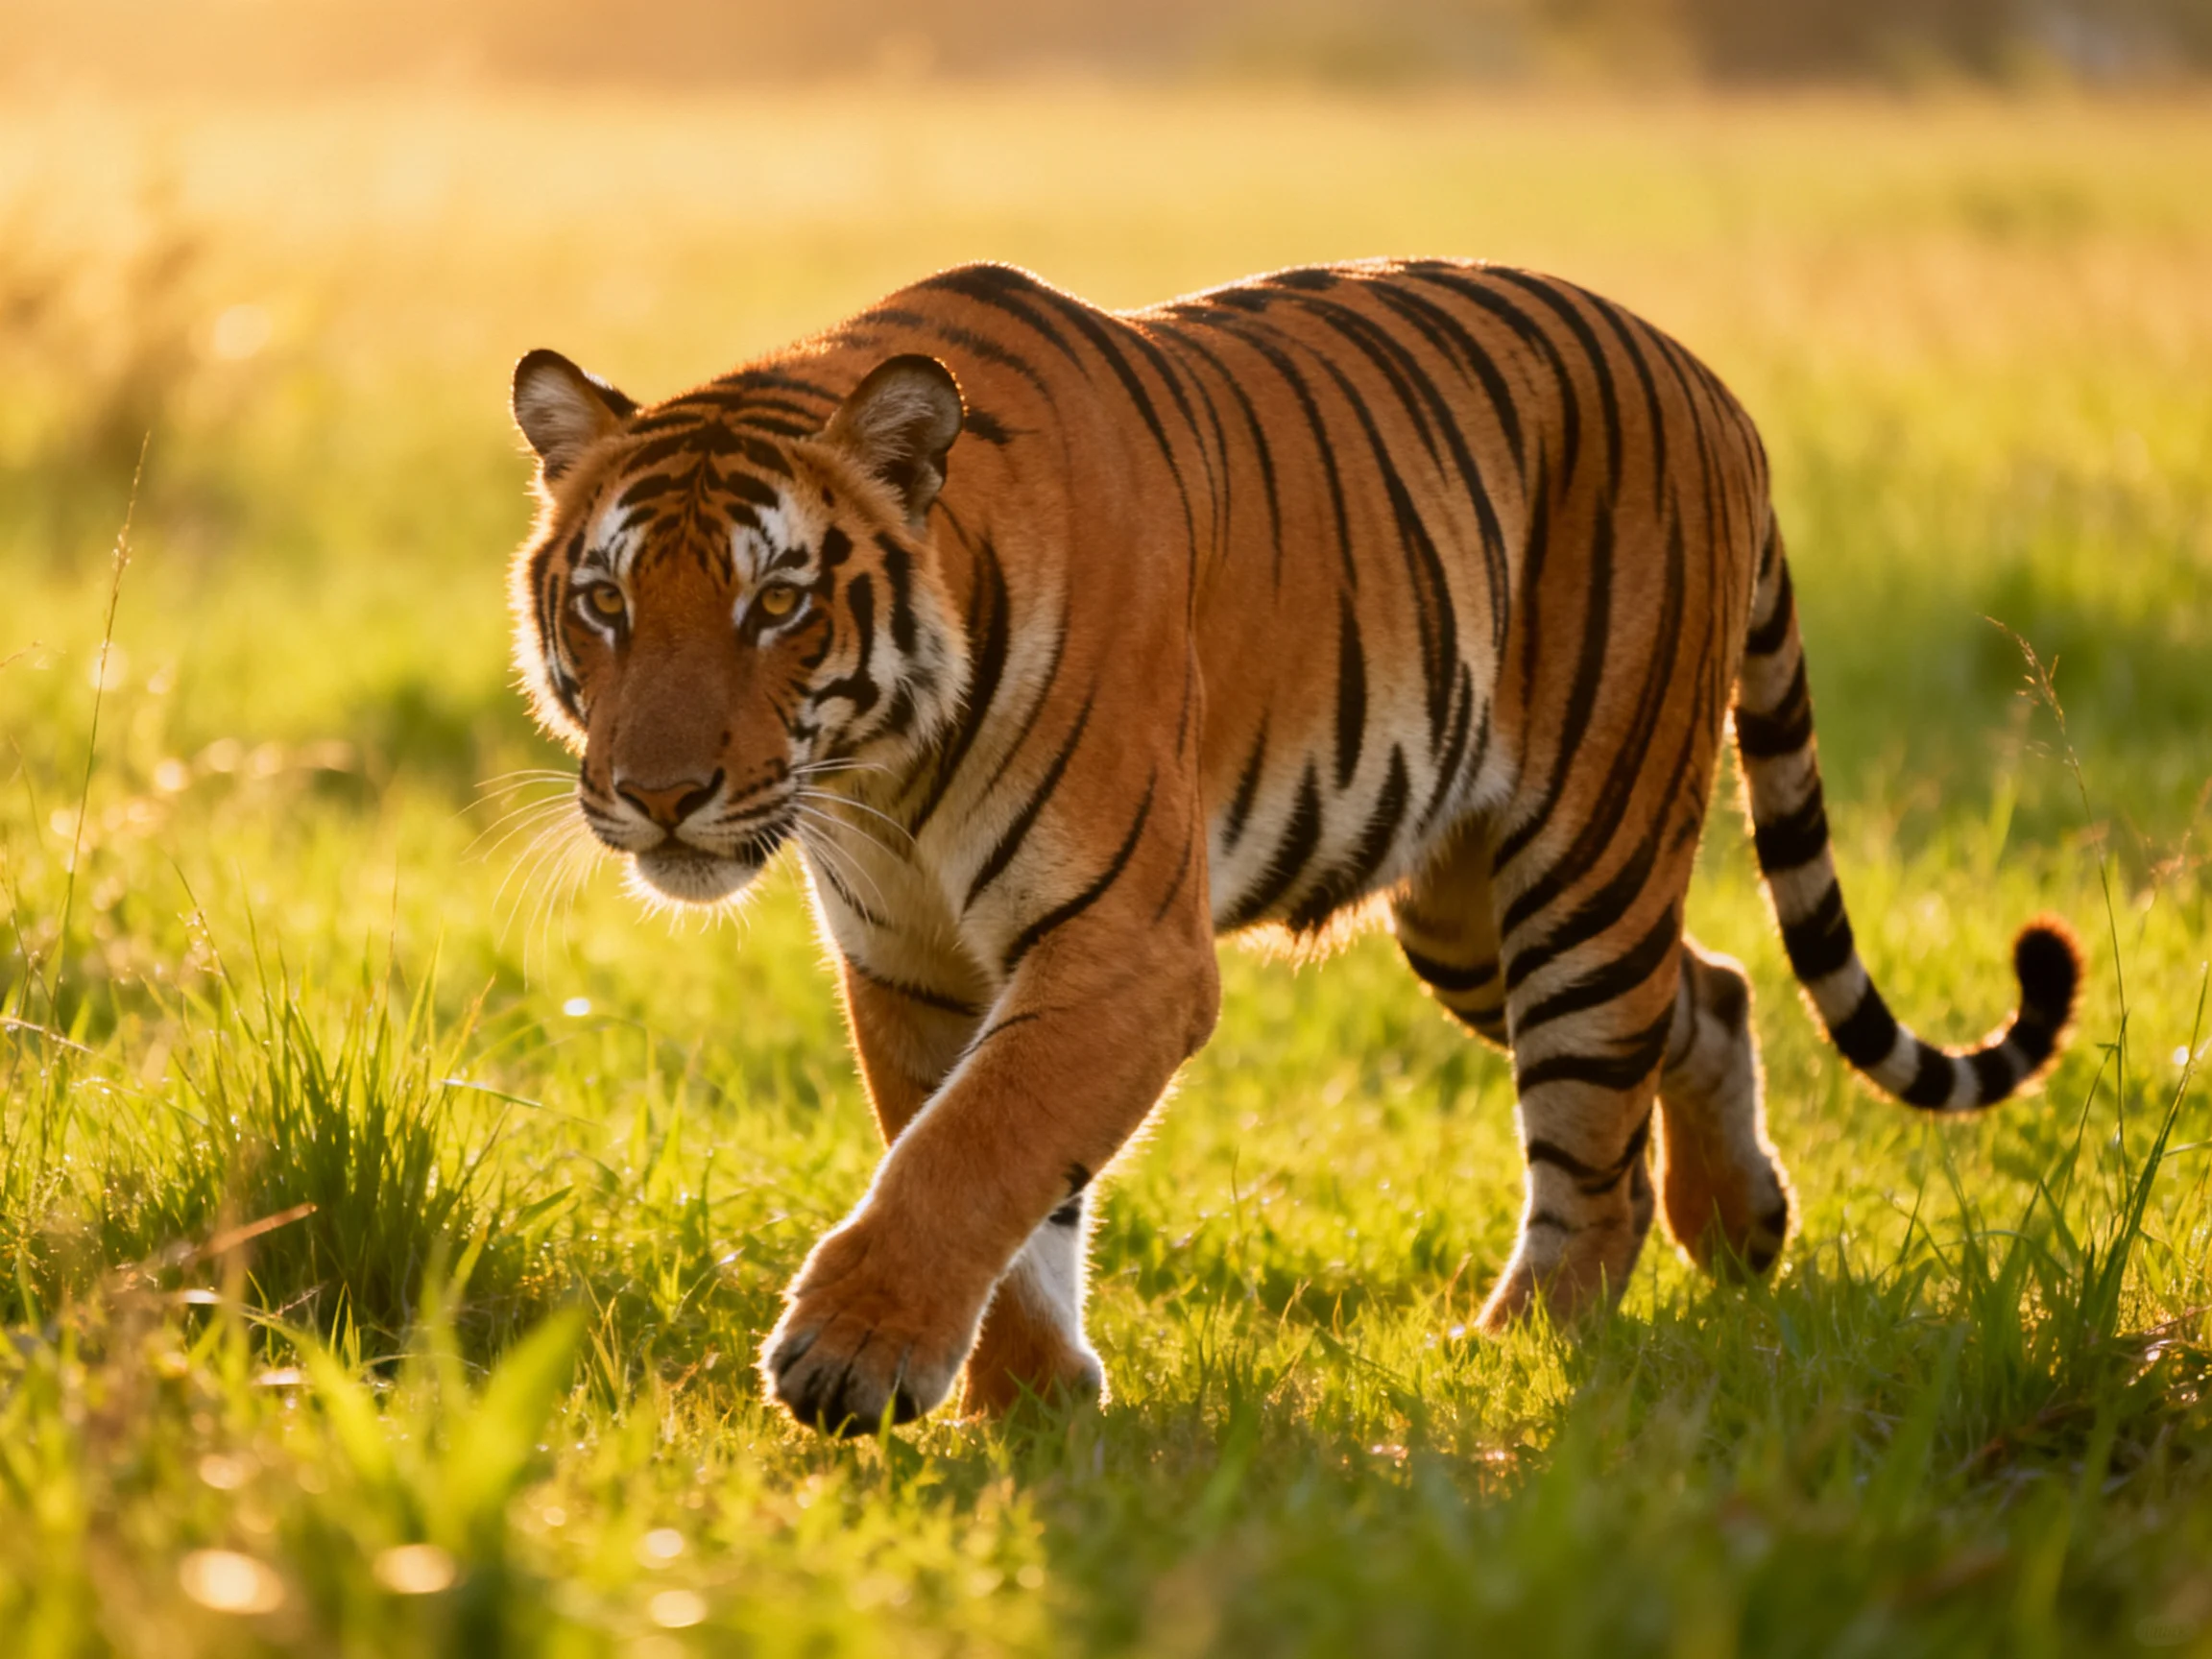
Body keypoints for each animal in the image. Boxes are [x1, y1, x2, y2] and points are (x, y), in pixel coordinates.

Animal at [506, 258, 2080, 1436]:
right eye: (607, 602)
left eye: (775, 604)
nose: (658, 794)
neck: (883, 771)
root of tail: (1713, 384)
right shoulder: (914, 969)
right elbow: (992, 1176)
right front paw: (1033, 1400)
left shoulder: (1123, 952)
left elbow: (976, 1146)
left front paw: (852, 1355)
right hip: (1469, 906)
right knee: (1705, 995)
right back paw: (1739, 1224)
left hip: (1585, 857)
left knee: (1593, 1148)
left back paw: (1515, 1359)